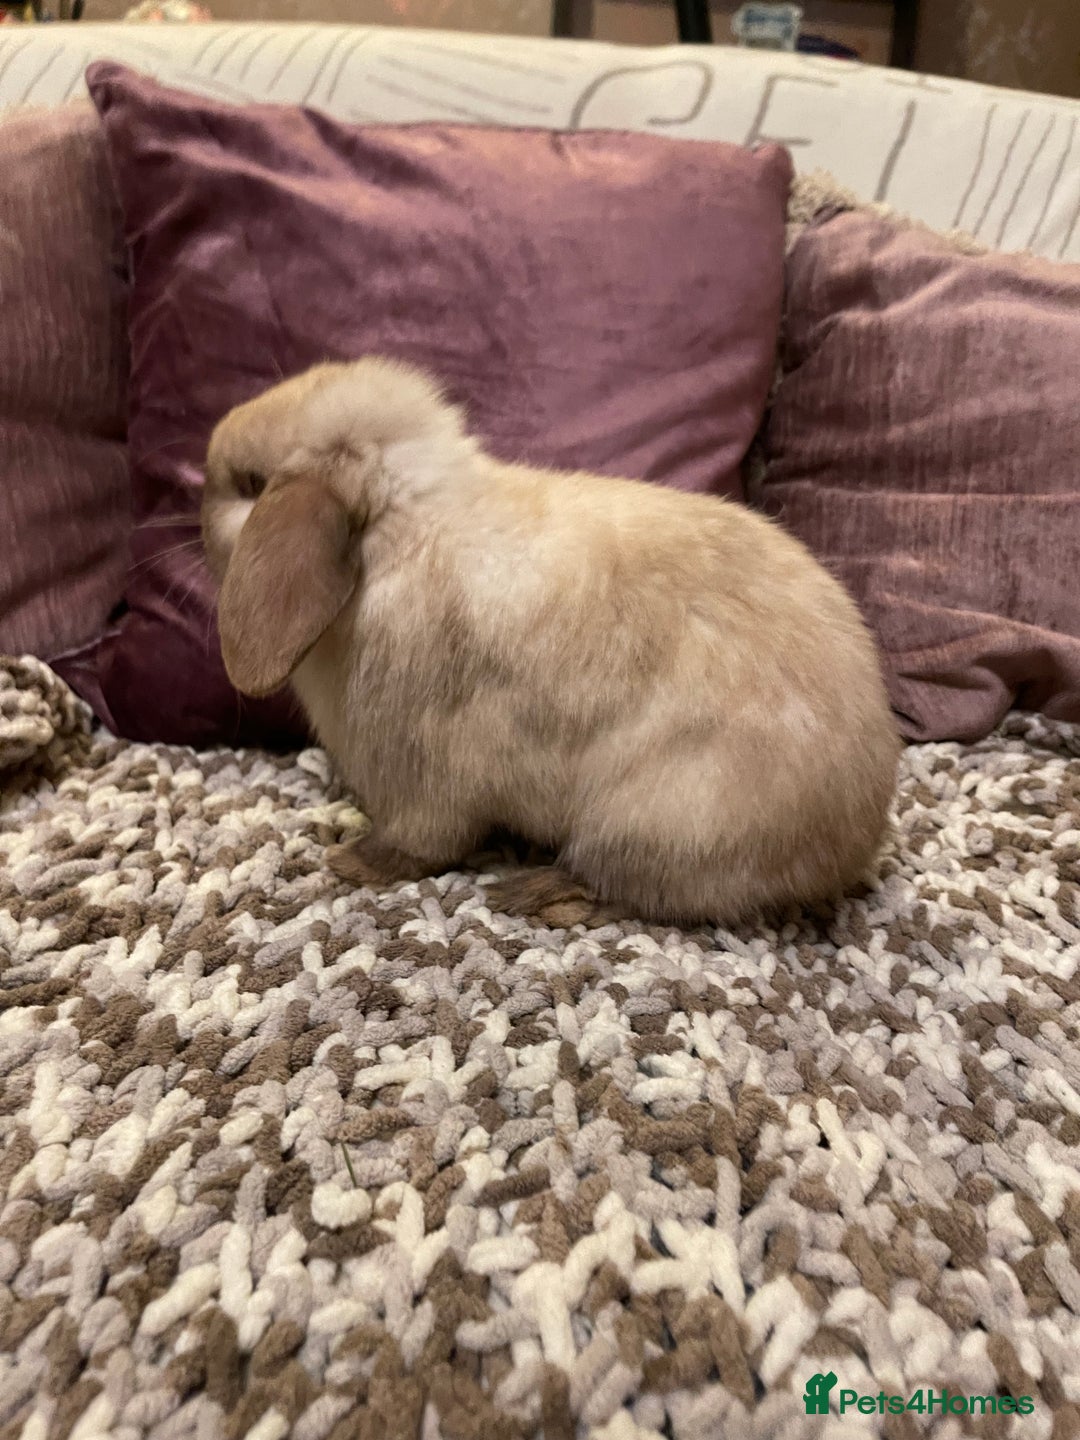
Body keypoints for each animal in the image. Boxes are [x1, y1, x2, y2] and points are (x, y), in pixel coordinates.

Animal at [202, 357, 901, 929]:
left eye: (251, 483)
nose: (197, 495)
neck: (402, 536)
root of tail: (852, 843)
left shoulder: (422, 773)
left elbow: (422, 842)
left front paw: (349, 860)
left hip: (654, 825)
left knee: (624, 891)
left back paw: (529, 893)